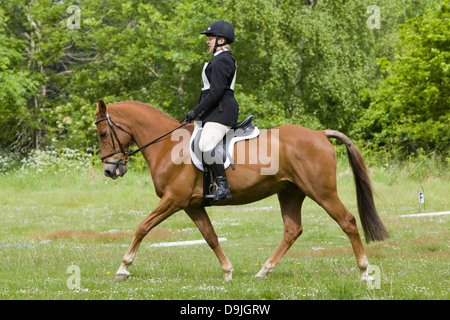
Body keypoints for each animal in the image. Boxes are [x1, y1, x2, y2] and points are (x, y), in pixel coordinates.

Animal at [93, 99, 388, 282]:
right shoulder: (192, 205)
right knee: (292, 230)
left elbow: (142, 227)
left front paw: (123, 269)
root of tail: (319, 134)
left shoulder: (173, 200)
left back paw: (364, 271)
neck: (168, 145)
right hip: (290, 192)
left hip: (321, 192)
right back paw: (264, 270)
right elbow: (210, 237)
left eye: (103, 134)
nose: (110, 170)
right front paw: (227, 271)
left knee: (347, 221)